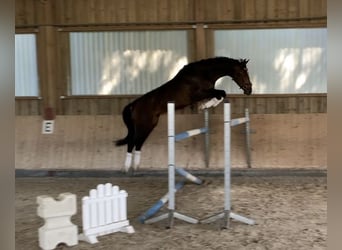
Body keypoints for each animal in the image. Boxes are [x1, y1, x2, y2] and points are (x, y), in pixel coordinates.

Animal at [115, 56, 251, 173]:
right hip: (143, 125)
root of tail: (134, 105)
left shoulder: (206, 92)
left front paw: (206, 105)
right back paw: (126, 168)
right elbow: (221, 92)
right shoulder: (199, 94)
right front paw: (205, 106)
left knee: (138, 142)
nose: (249, 89)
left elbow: (220, 94)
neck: (202, 74)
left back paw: (136, 166)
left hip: (150, 125)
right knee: (132, 142)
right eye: (241, 73)